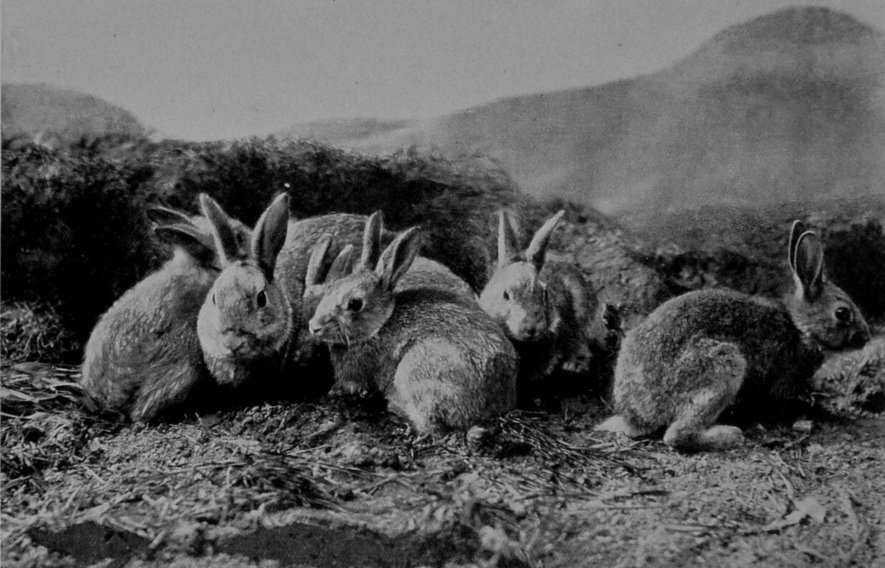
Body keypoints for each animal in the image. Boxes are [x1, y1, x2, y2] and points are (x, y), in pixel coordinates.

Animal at [307, 217, 518, 433]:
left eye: (355, 303)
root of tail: (492, 404)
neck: (380, 325)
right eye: (331, 289)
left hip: (415, 370)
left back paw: (396, 406)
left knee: (431, 426)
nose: (314, 326)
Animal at [596, 221, 871, 452]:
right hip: (722, 366)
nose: (866, 337)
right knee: (677, 434)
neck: (800, 327)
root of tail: (639, 415)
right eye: (843, 313)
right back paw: (730, 434)